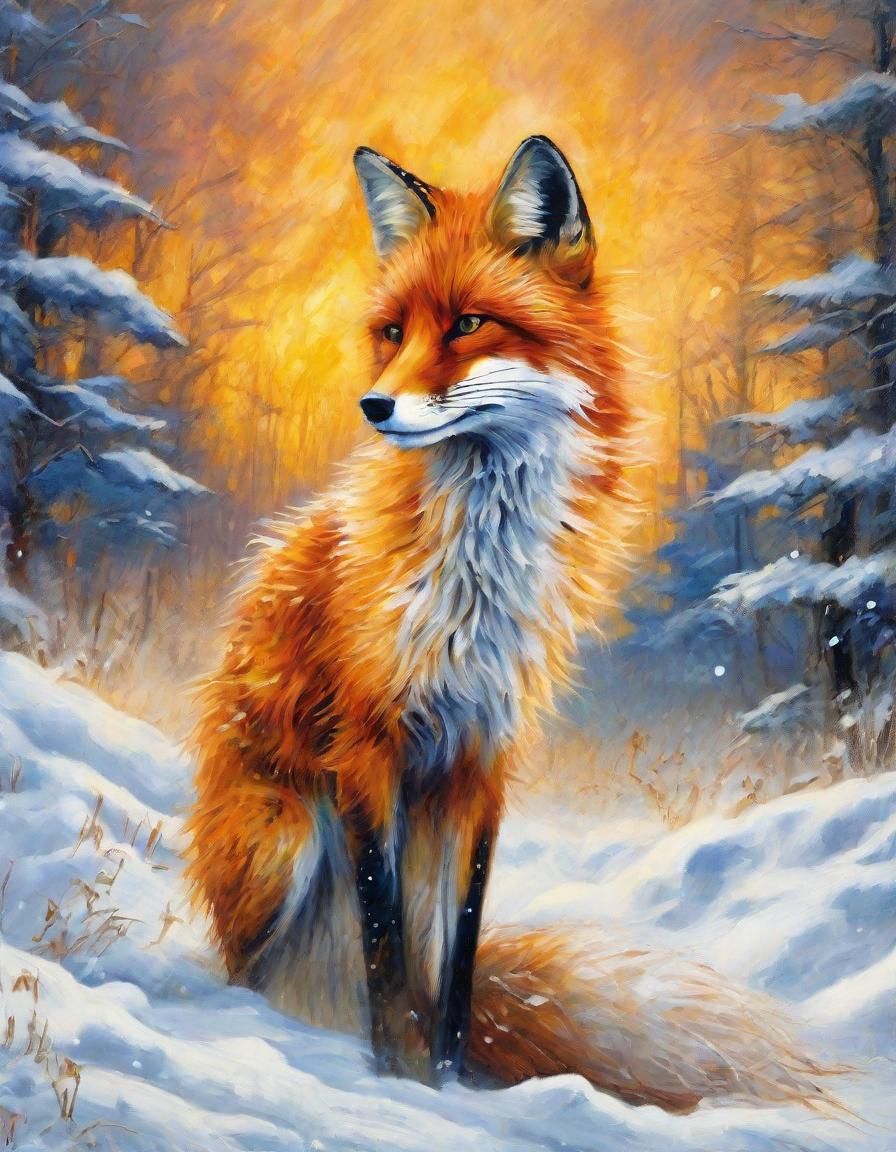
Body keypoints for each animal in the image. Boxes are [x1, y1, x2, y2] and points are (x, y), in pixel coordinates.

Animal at [185, 137, 831, 1111]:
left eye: (468, 324)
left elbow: (451, 972)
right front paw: (397, 1089)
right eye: (392, 332)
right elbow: (388, 963)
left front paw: (446, 1088)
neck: (474, 575)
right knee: (256, 973)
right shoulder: (365, 751)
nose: (374, 408)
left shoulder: (482, 758)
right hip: (282, 842)